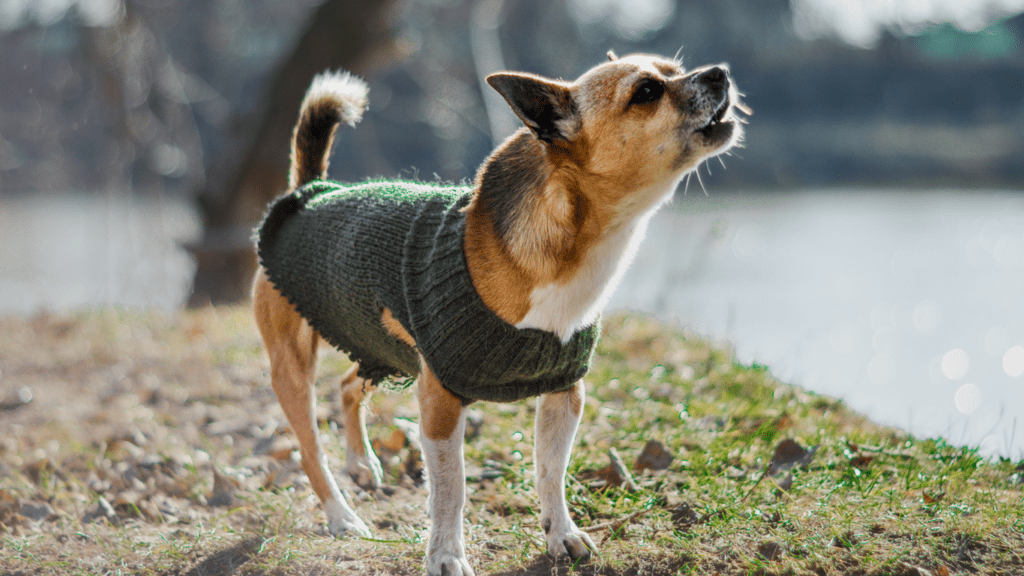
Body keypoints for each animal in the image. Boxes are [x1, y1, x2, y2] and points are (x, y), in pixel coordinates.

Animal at [247, 51, 745, 569]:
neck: (574, 251)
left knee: (348, 386)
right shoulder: (440, 401)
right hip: (293, 367)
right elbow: (451, 489)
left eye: (676, 69)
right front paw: (445, 556)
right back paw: (341, 515)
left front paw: (561, 533)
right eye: (646, 92)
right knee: (310, 448)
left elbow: (550, 470)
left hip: (379, 343)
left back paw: (362, 463)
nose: (719, 73)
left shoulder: (564, 393)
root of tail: (311, 189)